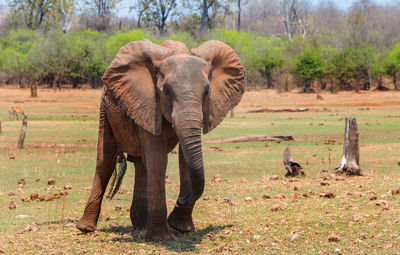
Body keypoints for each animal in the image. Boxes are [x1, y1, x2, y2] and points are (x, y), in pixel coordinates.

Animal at [76, 38, 247, 241]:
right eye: (166, 91)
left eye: (207, 92)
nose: (181, 200)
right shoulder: (148, 103)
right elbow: (158, 160)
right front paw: (161, 238)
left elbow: (183, 159)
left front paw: (181, 228)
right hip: (106, 110)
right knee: (106, 160)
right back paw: (86, 228)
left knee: (142, 165)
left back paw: (140, 225)